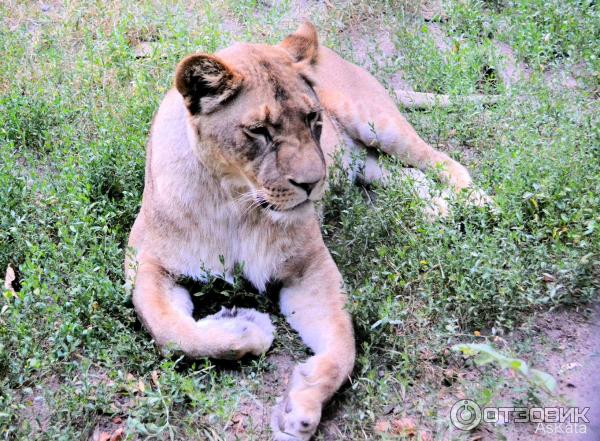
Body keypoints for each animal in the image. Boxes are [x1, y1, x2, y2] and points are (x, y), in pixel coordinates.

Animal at [125, 21, 488, 440]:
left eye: (313, 117)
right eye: (259, 131)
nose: (313, 183)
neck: (235, 202)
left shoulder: (309, 266)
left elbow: (343, 343)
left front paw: (301, 409)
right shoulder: (147, 261)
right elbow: (169, 330)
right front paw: (247, 329)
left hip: (378, 123)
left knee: (442, 161)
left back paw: (477, 203)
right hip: (366, 160)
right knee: (402, 175)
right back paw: (435, 207)